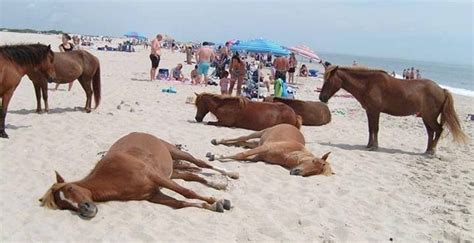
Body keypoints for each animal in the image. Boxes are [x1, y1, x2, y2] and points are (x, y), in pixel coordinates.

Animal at [39, 133, 237, 218]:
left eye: (71, 188)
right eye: (64, 206)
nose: (86, 210)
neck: (114, 175)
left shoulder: (156, 178)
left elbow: (187, 193)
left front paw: (216, 201)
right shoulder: (153, 195)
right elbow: (180, 204)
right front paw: (214, 205)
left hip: (176, 153)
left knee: (202, 164)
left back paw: (231, 174)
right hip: (172, 173)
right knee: (192, 175)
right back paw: (217, 184)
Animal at [206, 123, 334, 177]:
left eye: (315, 172)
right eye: (314, 161)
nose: (296, 172)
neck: (289, 153)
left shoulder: (257, 156)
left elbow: (242, 155)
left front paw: (217, 155)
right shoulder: (264, 148)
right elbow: (241, 154)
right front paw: (215, 156)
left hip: (257, 142)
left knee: (242, 142)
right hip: (259, 132)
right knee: (242, 138)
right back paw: (217, 141)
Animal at [318, 65, 466, 155]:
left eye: (328, 81)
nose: (321, 97)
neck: (368, 84)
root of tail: (442, 90)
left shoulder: (375, 111)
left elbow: (375, 128)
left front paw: (375, 146)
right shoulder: (369, 111)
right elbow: (370, 128)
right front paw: (369, 145)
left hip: (429, 117)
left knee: (439, 130)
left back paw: (432, 151)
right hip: (426, 117)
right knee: (431, 132)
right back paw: (428, 150)